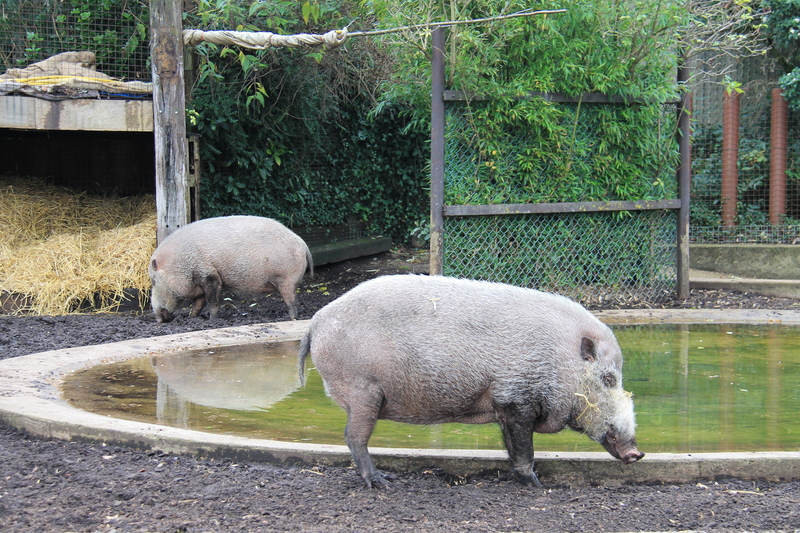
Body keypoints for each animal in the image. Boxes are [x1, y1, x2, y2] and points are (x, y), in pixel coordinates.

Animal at [150, 215, 312, 322]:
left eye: (153, 282)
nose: (158, 319)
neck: (181, 263)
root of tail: (303, 245)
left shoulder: (209, 275)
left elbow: (212, 300)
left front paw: (212, 320)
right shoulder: (199, 282)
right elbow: (198, 302)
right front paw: (192, 317)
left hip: (286, 278)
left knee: (292, 301)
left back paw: (292, 318)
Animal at [298, 276, 644, 488]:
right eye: (608, 378)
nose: (636, 453)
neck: (558, 362)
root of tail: (315, 323)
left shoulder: (504, 405)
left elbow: (511, 446)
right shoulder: (516, 399)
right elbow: (524, 448)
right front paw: (537, 484)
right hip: (364, 391)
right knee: (353, 437)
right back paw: (382, 482)